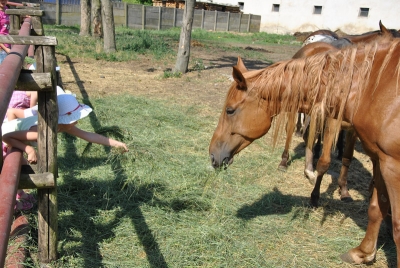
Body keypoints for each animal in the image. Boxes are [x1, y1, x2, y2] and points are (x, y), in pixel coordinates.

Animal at [208, 36, 400, 266]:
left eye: (230, 110)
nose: (212, 155)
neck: (372, 88)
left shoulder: (391, 165)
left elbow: (397, 226)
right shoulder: (380, 160)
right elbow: (376, 208)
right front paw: (362, 253)